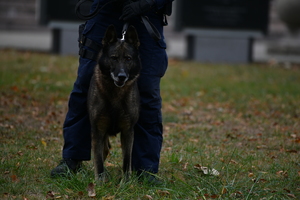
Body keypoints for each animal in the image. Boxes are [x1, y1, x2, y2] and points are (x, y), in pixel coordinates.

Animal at [87, 24, 141, 180]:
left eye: (128, 58)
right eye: (114, 58)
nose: (121, 76)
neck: (115, 94)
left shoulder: (128, 131)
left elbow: (126, 160)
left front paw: (126, 182)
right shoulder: (98, 130)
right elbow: (98, 160)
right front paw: (99, 181)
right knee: (103, 152)